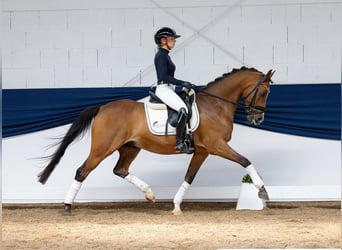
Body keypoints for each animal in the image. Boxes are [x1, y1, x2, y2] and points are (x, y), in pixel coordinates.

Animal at [37, 66, 274, 215]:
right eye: (263, 92)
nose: (258, 119)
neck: (215, 106)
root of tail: (102, 107)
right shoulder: (217, 146)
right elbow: (245, 161)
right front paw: (262, 191)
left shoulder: (202, 151)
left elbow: (189, 176)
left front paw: (176, 206)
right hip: (102, 148)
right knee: (82, 171)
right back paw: (67, 206)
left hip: (130, 148)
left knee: (120, 170)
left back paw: (150, 194)